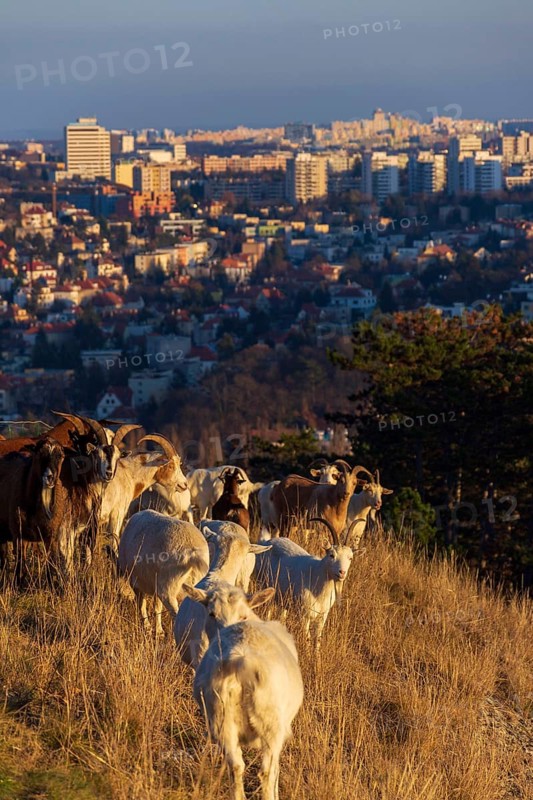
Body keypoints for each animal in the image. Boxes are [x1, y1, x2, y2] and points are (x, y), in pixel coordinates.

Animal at [184, 581, 303, 800]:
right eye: (211, 614)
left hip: (221, 718)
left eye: (243, 614)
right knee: (267, 771)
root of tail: (240, 659)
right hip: (271, 722)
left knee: (236, 765)